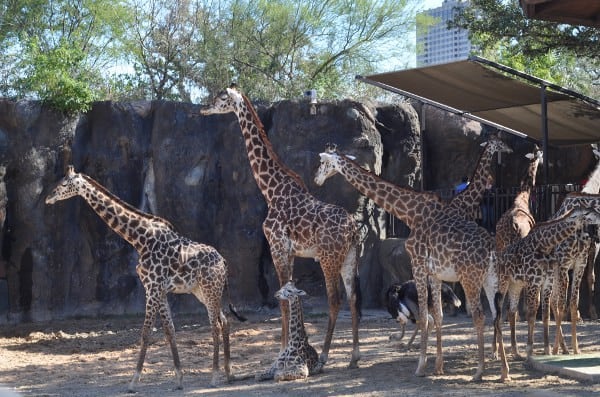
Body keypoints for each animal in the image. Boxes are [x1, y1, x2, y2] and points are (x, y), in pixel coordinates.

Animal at [44, 164, 246, 390]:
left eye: (63, 184)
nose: (48, 197)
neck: (140, 240)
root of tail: (224, 262)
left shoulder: (153, 288)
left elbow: (146, 332)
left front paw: (133, 381)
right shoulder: (159, 290)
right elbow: (169, 330)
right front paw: (179, 378)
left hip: (210, 290)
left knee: (215, 325)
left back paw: (214, 376)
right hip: (203, 291)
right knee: (225, 321)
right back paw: (229, 373)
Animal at [202, 86, 360, 368]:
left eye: (222, 98)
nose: (203, 108)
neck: (271, 191)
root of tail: (353, 229)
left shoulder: (277, 248)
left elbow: (284, 302)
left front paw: (282, 353)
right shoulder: (290, 252)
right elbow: (290, 296)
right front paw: (289, 350)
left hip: (328, 257)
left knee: (335, 299)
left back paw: (325, 357)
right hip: (350, 256)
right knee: (353, 298)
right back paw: (353, 356)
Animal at [316, 145, 500, 380]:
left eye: (322, 163)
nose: (317, 179)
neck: (410, 212)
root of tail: (491, 246)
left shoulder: (421, 266)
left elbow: (425, 315)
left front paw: (422, 366)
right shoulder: (434, 272)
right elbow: (435, 315)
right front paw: (436, 366)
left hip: (473, 276)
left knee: (482, 313)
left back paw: (481, 368)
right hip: (489, 277)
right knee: (497, 311)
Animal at [494, 206, 600, 378]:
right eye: (589, 215)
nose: (596, 236)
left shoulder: (558, 276)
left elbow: (554, 310)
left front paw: (554, 350)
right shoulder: (543, 277)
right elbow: (537, 313)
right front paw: (536, 350)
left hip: (518, 284)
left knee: (511, 311)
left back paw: (516, 353)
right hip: (507, 283)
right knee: (498, 315)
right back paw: (499, 359)